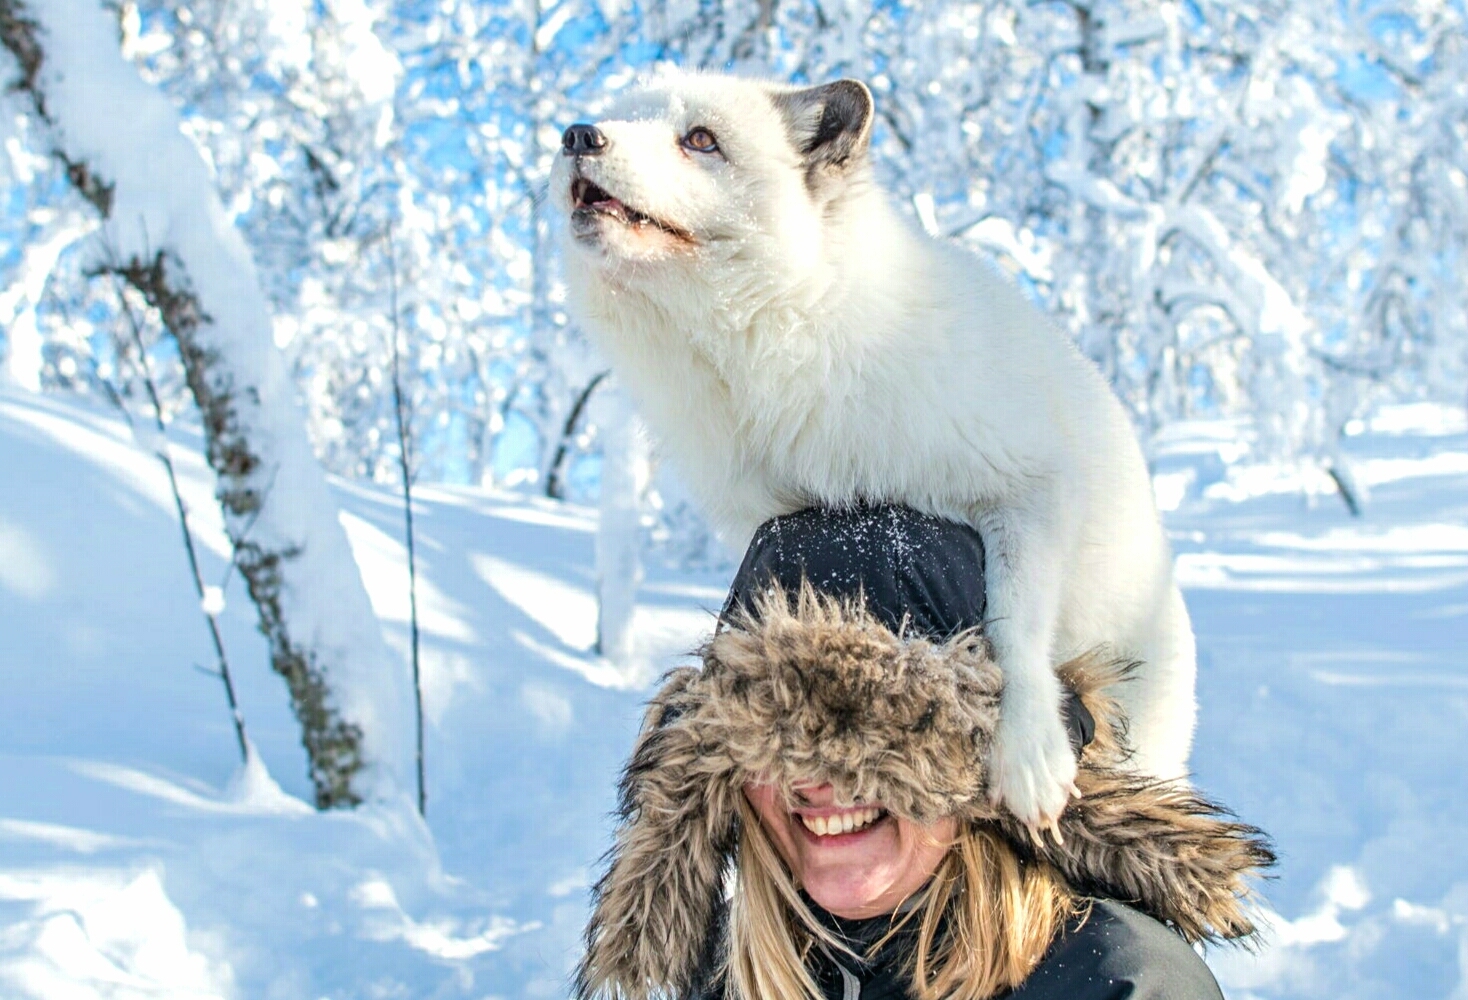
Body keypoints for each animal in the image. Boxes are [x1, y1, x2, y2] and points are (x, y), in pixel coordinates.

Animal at [551, 70, 1192, 828]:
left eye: (701, 140)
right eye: (620, 113)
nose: (577, 135)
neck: (797, 344)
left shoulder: (1030, 485)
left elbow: (1012, 625)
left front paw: (1029, 750)